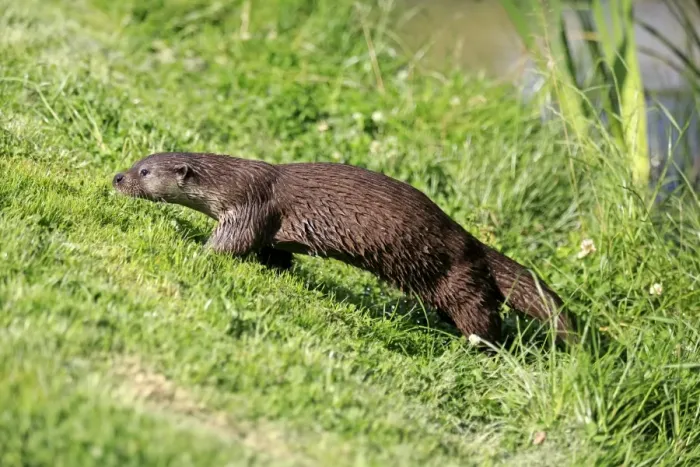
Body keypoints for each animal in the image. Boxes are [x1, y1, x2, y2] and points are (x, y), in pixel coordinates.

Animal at [113, 152, 574, 345]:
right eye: (136, 160)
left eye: (144, 171)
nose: (117, 177)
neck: (233, 183)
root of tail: (475, 243)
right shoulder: (267, 229)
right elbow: (275, 253)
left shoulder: (249, 209)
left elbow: (231, 244)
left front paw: (198, 249)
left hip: (458, 275)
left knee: (485, 318)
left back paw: (476, 345)